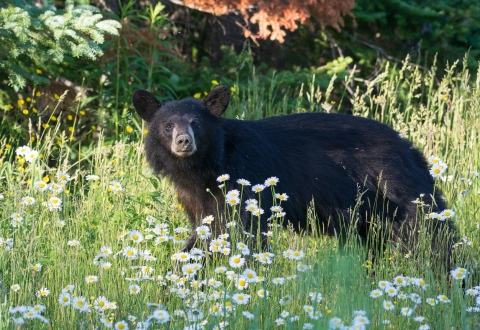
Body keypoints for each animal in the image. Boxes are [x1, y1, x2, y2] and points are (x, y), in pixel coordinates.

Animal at [132, 85, 454, 260]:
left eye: (196, 123)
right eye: (168, 125)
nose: (183, 141)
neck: (204, 167)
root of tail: (410, 149)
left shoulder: (244, 182)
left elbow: (243, 230)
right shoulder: (195, 198)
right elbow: (204, 230)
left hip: (396, 188)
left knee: (429, 233)